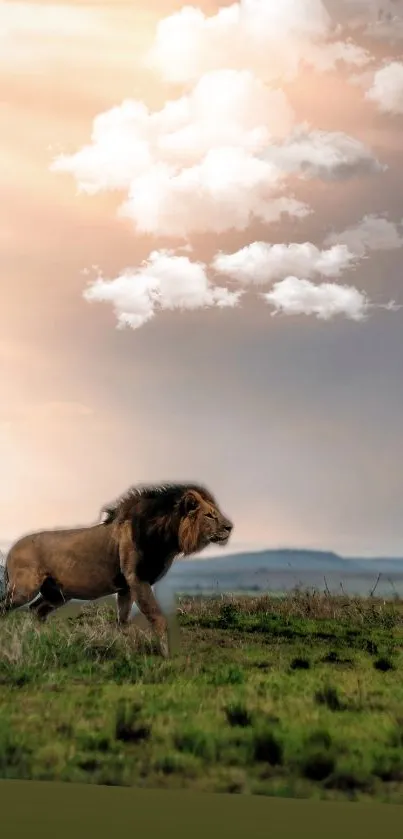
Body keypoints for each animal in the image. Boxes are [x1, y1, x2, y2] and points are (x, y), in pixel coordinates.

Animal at [0, 486, 234, 656]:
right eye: (210, 516)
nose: (230, 527)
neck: (166, 537)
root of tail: (11, 549)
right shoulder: (137, 579)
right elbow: (157, 618)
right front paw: (166, 656)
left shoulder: (126, 588)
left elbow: (123, 621)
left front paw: (124, 649)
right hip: (24, 589)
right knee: (7, 607)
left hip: (57, 594)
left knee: (36, 610)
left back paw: (40, 640)